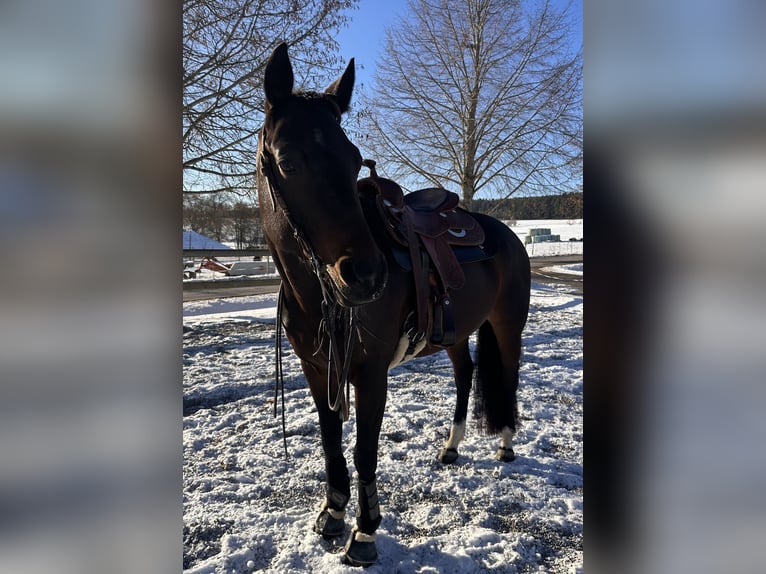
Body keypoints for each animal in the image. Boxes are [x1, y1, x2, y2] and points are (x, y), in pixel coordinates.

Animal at [257, 42, 530, 567]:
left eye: (353, 161)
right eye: (288, 161)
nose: (367, 275)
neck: (316, 294)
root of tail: (505, 234)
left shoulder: (371, 373)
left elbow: (364, 449)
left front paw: (363, 535)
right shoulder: (317, 368)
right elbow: (330, 441)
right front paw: (332, 514)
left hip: (508, 325)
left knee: (506, 376)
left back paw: (505, 445)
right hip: (455, 332)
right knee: (466, 374)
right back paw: (450, 448)